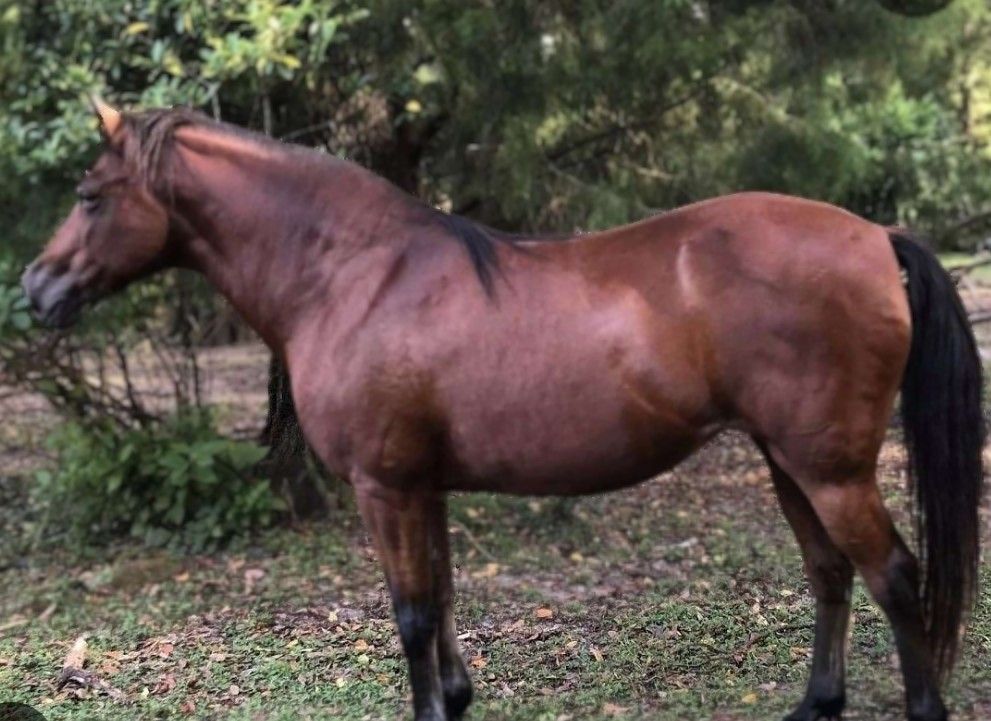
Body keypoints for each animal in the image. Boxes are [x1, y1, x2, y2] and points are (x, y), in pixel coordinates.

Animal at [23, 101, 983, 721]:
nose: (35, 288)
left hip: (830, 467)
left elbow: (412, 613)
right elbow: (442, 596)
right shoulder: (422, 486)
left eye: (88, 194)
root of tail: (874, 237)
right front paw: (456, 697)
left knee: (893, 575)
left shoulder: (384, 486)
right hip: (789, 460)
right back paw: (815, 703)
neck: (354, 276)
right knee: (830, 573)